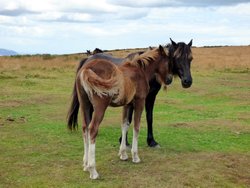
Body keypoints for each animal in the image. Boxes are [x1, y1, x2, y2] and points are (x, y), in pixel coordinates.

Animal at [67, 45, 171, 179]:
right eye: (168, 62)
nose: (169, 80)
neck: (140, 71)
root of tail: (86, 69)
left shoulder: (127, 105)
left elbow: (125, 125)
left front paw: (123, 154)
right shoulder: (140, 102)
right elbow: (136, 127)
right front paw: (135, 156)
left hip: (85, 105)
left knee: (85, 128)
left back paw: (85, 164)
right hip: (100, 107)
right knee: (92, 129)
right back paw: (93, 170)